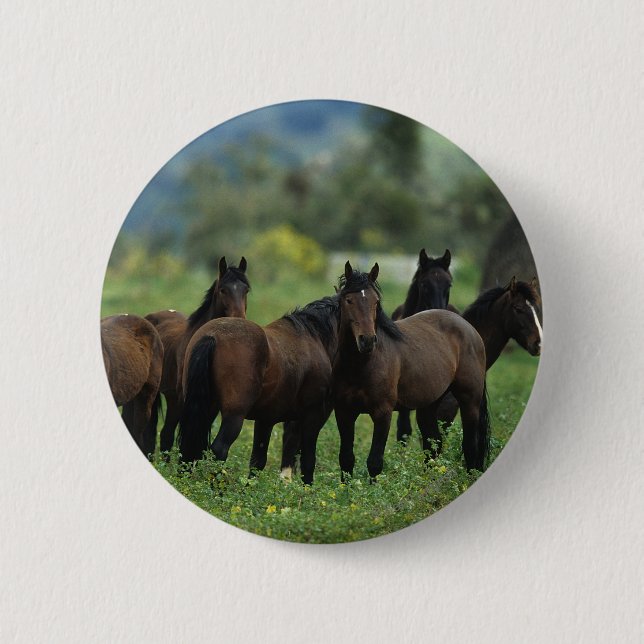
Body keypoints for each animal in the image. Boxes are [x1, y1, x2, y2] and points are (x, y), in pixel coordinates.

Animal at [178, 294, 339, 483]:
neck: (314, 337)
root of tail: (212, 336)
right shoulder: (313, 415)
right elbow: (307, 459)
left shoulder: (266, 419)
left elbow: (258, 460)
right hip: (234, 416)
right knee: (219, 449)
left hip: (205, 408)